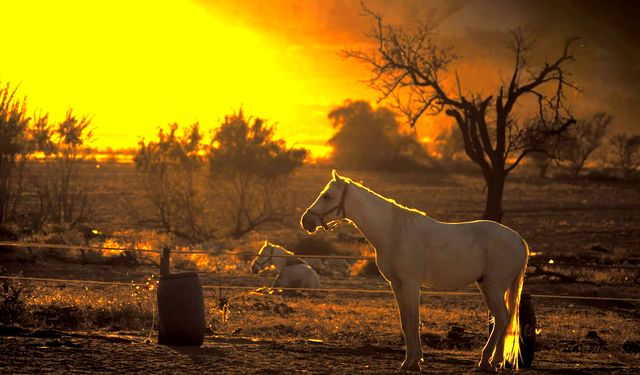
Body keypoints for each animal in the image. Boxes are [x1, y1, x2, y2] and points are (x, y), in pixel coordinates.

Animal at [302, 171, 528, 374]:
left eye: (327, 196)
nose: (306, 222)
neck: (394, 232)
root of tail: (518, 239)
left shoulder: (411, 284)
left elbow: (413, 320)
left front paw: (414, 362)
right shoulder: (397, 284)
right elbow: (405, 322)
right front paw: (409, 361)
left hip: (494, 286)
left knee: (501, 317)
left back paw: (485, 362)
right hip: (485, 285)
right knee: (501, 318)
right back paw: (495, 362)